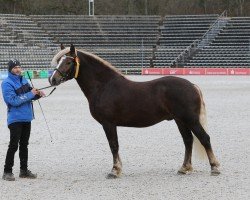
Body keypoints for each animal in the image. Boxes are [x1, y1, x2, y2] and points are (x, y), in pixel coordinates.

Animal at [48, 44, 221, 178]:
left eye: (68, 61)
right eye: (60, 60)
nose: (53, 79)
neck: (104, 86)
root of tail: (192, 85)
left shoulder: (108, 123)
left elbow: (114, 145)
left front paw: (114, 171)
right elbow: (115, 146)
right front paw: (118, 169)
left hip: (190, 119)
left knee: (204, 138)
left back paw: (215, 168)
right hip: (180, 120)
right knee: (188, 141)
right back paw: (184, 168)